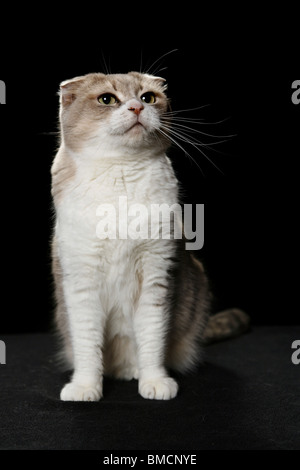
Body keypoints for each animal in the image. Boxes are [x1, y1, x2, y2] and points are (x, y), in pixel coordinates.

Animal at [51, 71, 248, 402]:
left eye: (148, 97)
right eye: (107, 99)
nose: (136, 107)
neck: (120, 174)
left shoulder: (157, 273)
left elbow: (152, 337)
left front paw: (154, 381)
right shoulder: (81, 280)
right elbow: (87, 344)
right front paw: (85, 387)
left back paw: (132, 370)